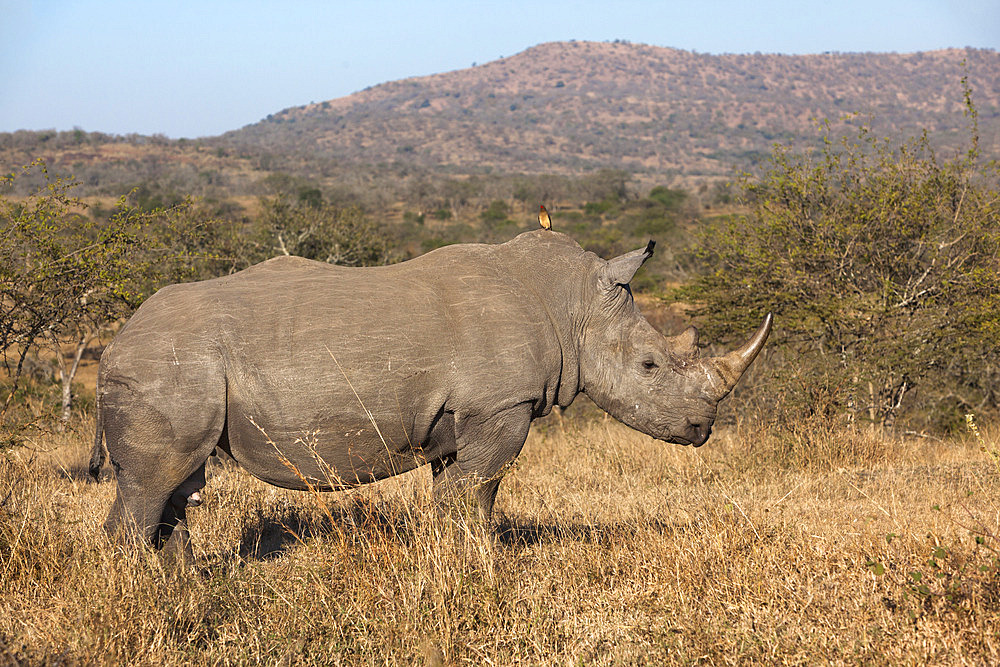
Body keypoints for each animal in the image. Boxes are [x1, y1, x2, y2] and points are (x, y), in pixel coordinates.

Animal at [88, 232, 772, 556]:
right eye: (650, 366)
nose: (702, 430)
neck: (570, 302)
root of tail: (113, 345)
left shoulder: (465, 416)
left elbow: (458, 495)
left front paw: (458, 560)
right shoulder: (501, 406)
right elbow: (479, 492)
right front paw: (483, 568)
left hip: (169, 368)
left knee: (178, 481)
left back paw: (185, 593)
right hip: (166, 365)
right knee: (154, 482)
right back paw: (141, 600)